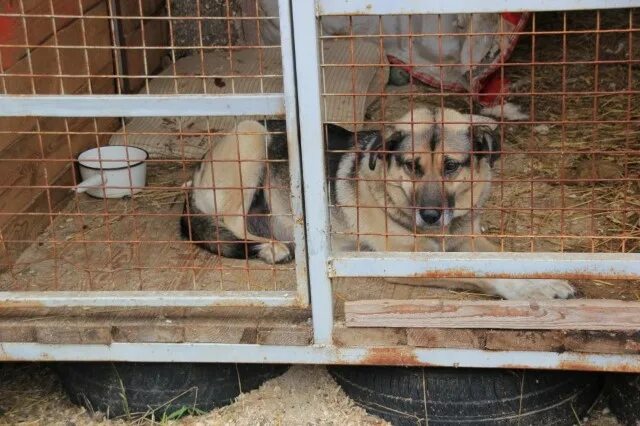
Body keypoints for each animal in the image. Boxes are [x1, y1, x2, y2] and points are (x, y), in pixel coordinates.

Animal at [180, 108, 576, 302]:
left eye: (450, 166)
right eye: (412, 166)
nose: (430, 216)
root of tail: (195, 173)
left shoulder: (467, 239)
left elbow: (506, 259)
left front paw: (546, 277)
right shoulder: (409, 259)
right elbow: (485, 273)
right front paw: (535, 288)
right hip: (250, 135)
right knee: (231, 221)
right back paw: (270, 247)